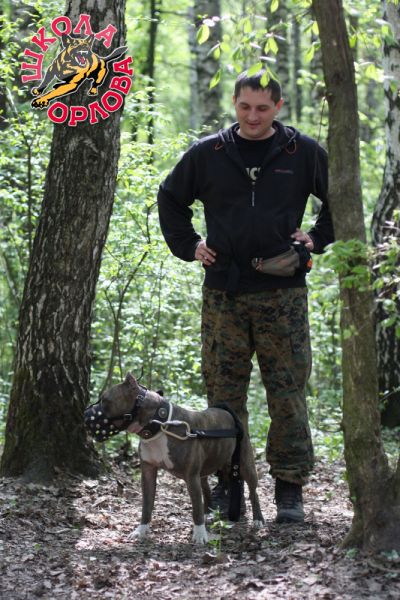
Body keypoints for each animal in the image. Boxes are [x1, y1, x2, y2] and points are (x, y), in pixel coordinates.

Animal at [89, 373, 264, 544]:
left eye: (105, 400)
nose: (86, 413)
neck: (159, 425)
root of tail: (228, 412)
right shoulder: (148, 472)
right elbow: (146, 505)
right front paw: (141, 530)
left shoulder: (191, 477)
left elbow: (195, 508)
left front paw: (199, 534)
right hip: (204, 471)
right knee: (206, 490)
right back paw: (208, 514)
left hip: (245, 464)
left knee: (253, 492)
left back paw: (258, 520)